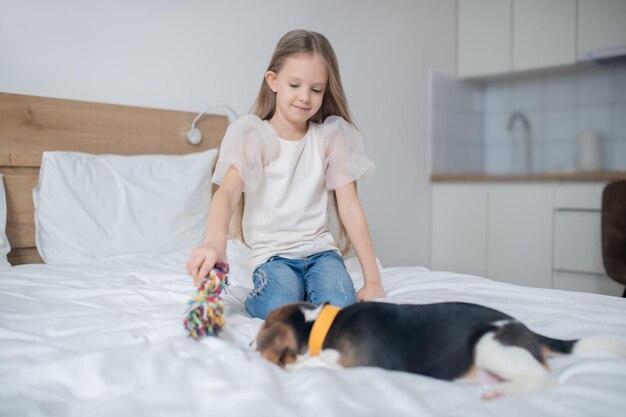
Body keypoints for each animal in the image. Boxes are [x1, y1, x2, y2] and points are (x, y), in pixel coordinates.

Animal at [255, 300, 624, 396]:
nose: (248, 343)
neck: (321, 324)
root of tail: (527, 331)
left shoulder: (352, 362)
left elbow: (314, 363)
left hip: (489, 344)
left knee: (543, 378)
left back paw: (500, 393)